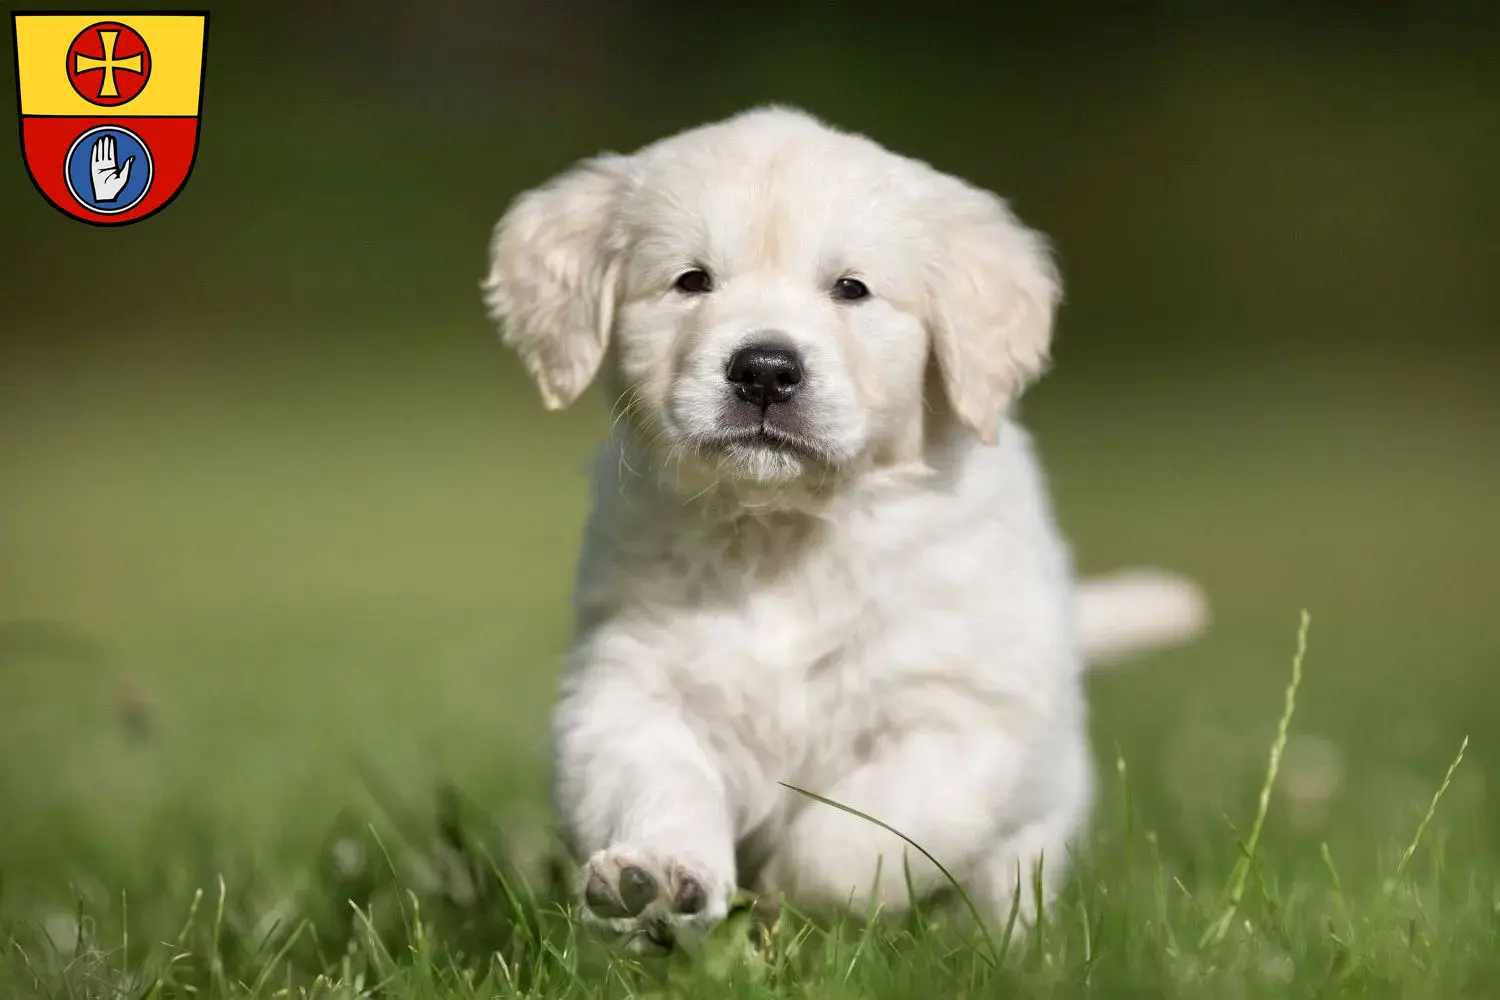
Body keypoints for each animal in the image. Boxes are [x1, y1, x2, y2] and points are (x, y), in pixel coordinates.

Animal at [480, 105, 1206, 953]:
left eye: (850, 289)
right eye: (691, 280)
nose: (764, 369)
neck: (784, 532)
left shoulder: (961, 721)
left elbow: (860, 836)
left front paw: (789, 902)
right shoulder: (630, 688)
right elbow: (658, 780)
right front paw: (655, 880)